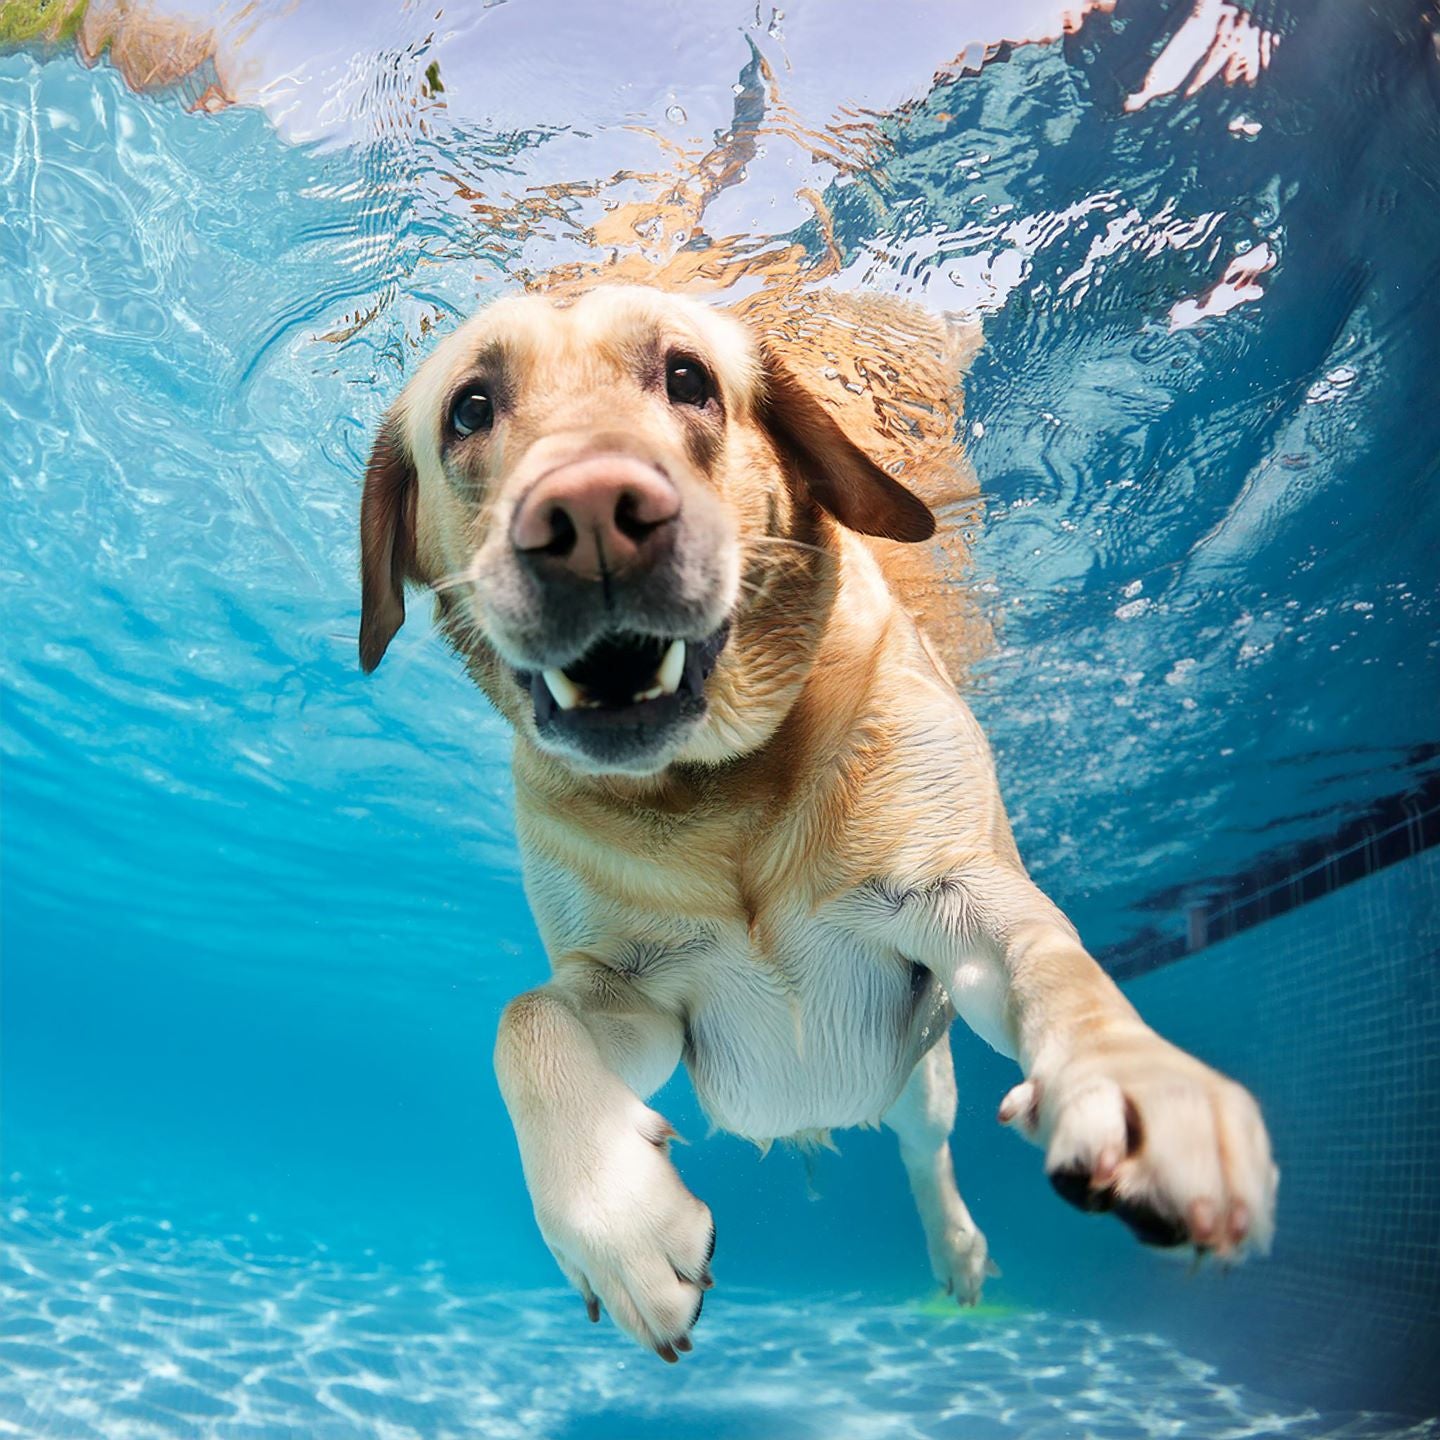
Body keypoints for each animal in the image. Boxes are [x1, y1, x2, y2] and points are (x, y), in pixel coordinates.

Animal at [360, 280, 1284, 1359]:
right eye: (470, 409)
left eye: (688, 378)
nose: (589, 515)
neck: (719, 789)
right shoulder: (631, 995)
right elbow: (525, 1021)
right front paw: (618, 1220)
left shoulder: (959, 900)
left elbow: (1058, 961)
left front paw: (1141, 1081)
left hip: (923, 1083)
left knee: (928, 1154)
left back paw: (958, 1253)